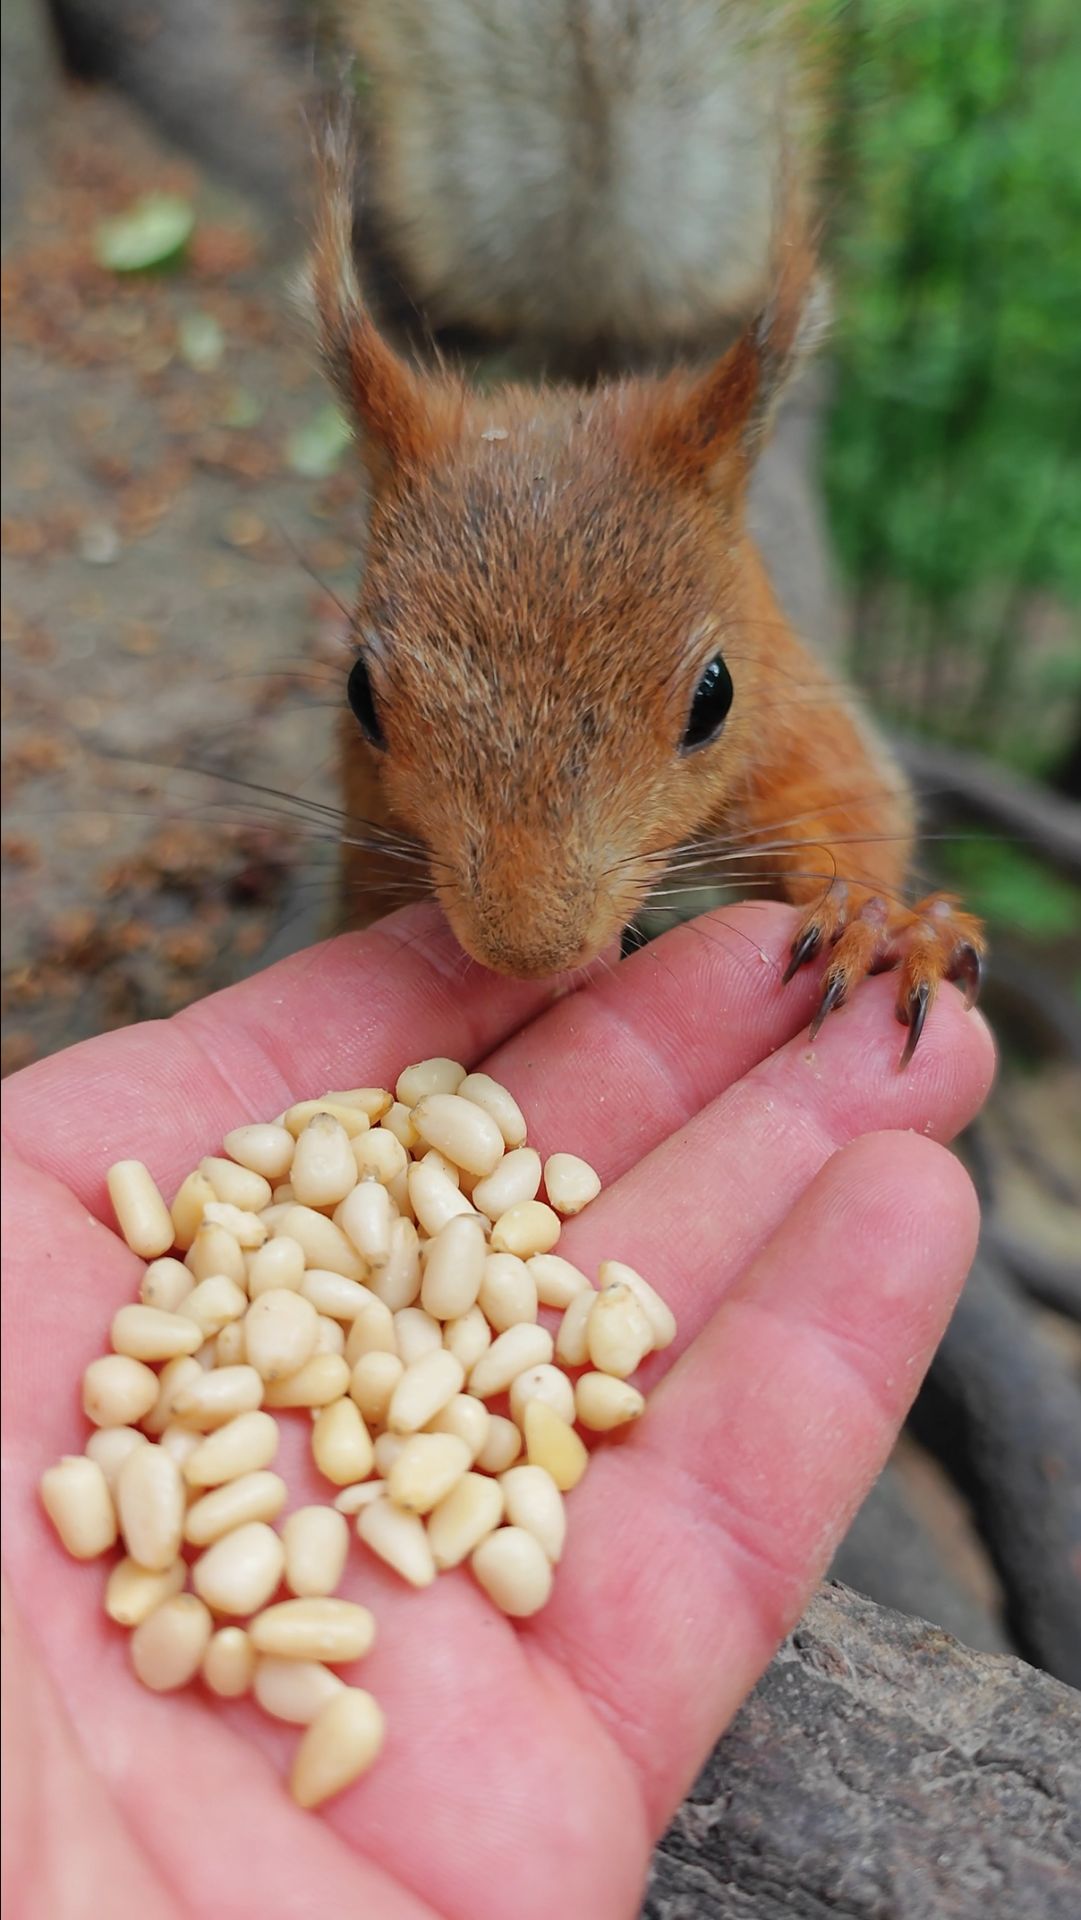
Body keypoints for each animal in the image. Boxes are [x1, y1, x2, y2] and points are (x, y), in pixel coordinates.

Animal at [309, 0, 984, 1062]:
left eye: (714, 697)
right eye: (359, 696)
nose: (529, 947)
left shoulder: (798, 719)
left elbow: (855, 801)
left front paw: (881, 923)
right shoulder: (366, 806)